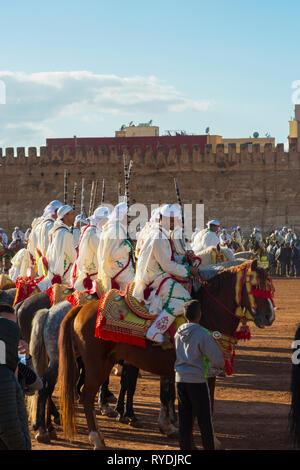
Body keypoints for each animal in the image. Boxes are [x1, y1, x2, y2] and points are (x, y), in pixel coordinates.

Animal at [57, 258, 276, 450]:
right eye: (256, 286)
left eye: (270, 287)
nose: (270, 316)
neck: (207, 316)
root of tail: (82, 307)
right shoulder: (204, 373)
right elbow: (204, 406)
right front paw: (210, 440)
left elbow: (180, 400)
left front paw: (175, 430)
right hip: (97, 365)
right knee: (87, 395)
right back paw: (97, 438)